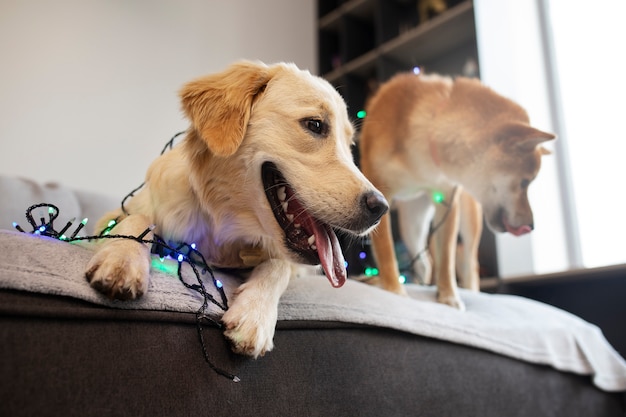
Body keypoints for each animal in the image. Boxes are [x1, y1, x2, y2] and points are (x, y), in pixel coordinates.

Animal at [83, 60, 386, 356]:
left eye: (350, 145)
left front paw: (255, 315)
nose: (380, 208)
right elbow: (137, 218)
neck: (224, 218)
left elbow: (277, 265)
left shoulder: (288, 262)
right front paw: (123, 259)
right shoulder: (117, 215)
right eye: (315, 124)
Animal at [358, 72, 552, 308]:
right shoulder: (379, 192)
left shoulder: (448, 199)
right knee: (424, 263)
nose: (531, 226)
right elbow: (386, 252)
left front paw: (448, 296)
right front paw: (394, 290)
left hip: (466, 220)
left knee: (468, 265)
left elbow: (447, 258)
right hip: (411, 222)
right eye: (526, 182)